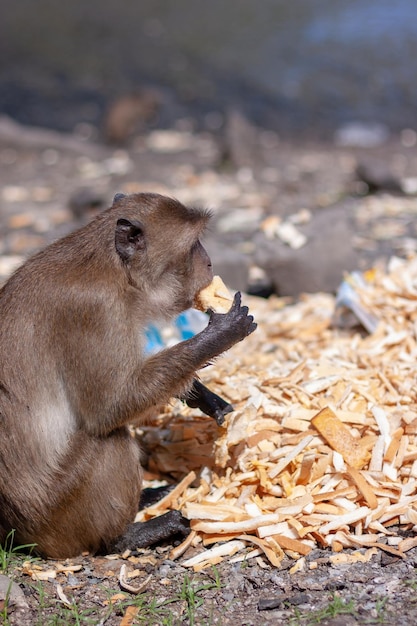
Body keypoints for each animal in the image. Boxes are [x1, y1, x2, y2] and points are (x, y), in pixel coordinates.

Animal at [0, 190, 256, 556]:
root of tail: (18, 538)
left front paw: (200, 394)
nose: (209, 263)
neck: (113, 271)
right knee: (109, 439)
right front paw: (220, 334)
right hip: (56, 516)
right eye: (194, 245)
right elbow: (108, 408)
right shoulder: (95, 311)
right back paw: (124, 537)